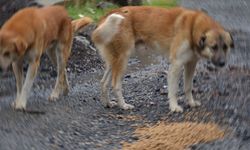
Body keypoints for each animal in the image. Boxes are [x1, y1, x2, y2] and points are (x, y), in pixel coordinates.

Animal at [92, 6, 234, 112]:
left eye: (225, 47)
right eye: (213, 47)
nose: (222, 63)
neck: (192, 27)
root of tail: (107, 15)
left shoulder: (190, 64)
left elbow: (188, 87)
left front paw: (191, 103)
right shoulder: (176, 64)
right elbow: (174, 89)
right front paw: (174, 107)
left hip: (114, 61)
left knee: (103, 82)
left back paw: (107, 103)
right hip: (123, 60)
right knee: (115, 84)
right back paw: (123, 105)